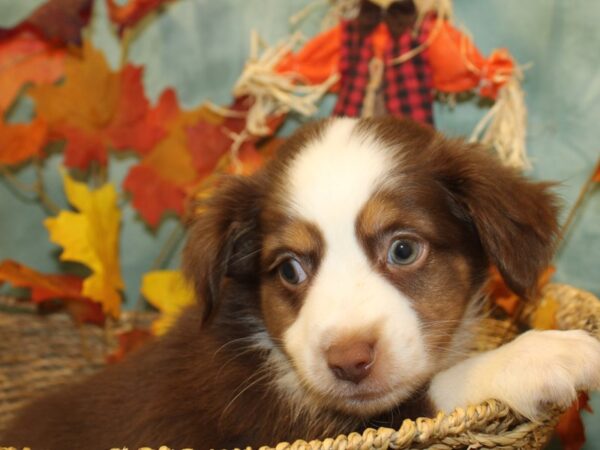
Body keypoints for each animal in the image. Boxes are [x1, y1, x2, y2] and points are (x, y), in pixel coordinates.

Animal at [4, 118, 600, 448]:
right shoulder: (272, 426)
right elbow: (427, 393)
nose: (349, 361)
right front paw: (545, 354)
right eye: (290, 269)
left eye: (403, 249)